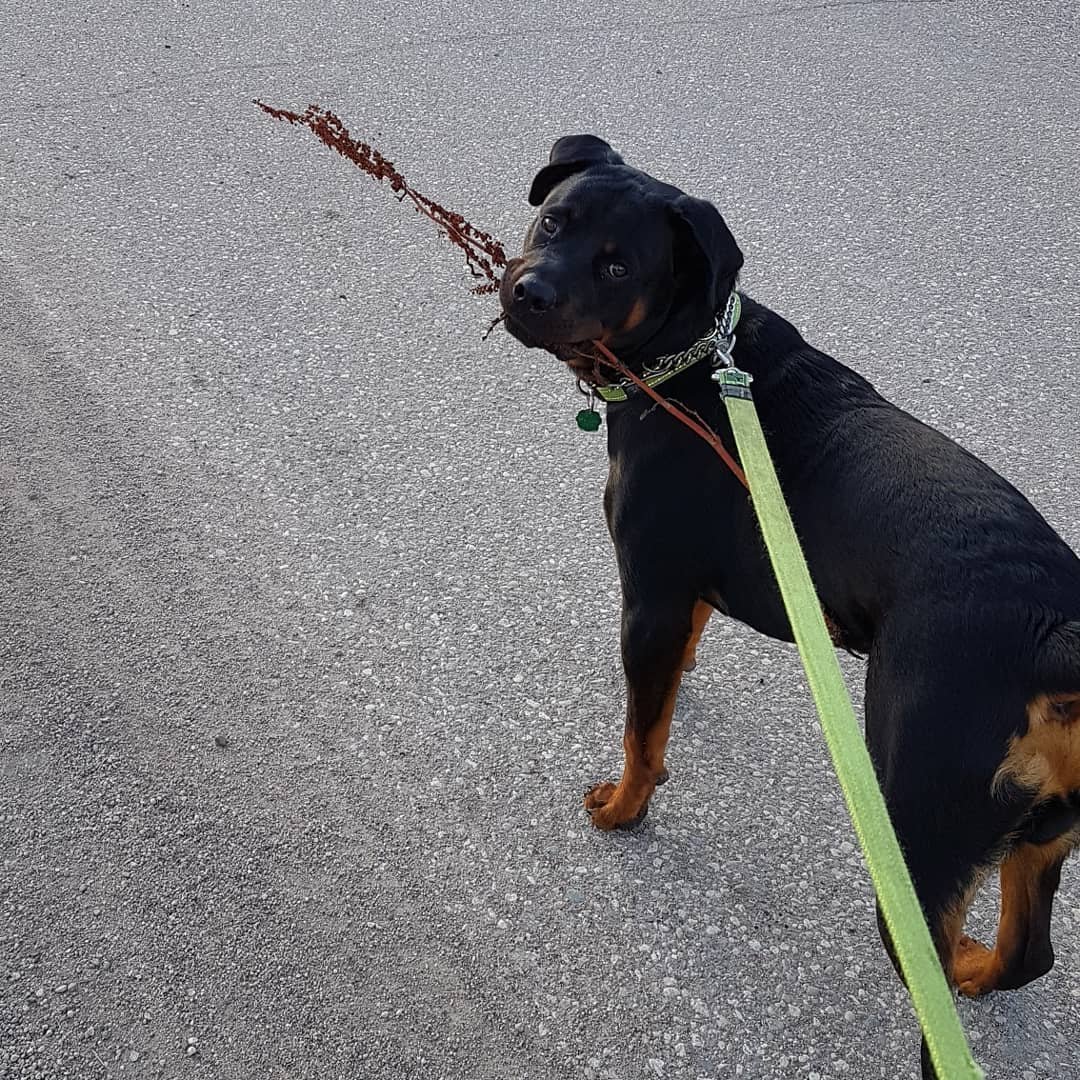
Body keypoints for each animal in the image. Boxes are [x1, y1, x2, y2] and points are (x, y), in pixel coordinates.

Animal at [496, 132, 1080, 1054]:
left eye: (619, 266)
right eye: (553, 219)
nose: (529, 289)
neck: (691, 363)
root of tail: (1053, 634)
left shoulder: (651, 591)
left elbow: (641, 736)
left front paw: (623, 809)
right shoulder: (692, 589)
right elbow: (677, 668)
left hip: (923, 834)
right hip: (1040, 836)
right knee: (1027, 955)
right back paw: (981, 969)